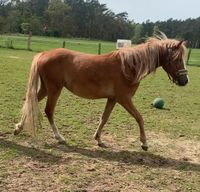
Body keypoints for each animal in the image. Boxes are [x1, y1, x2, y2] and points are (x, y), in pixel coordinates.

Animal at [14, 32, 188, 151]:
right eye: (177, 59)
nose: (185, 81)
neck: (129, 66)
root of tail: (44, 53)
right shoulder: (125, 99)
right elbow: (139, 118)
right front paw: (144, 143)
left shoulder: (113, 99)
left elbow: (104, 118)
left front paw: (98, 139)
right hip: (54, 89)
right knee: (48, 111)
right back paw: (59, 137)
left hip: (45, 88)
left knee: (30, 103)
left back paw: (18, 128)